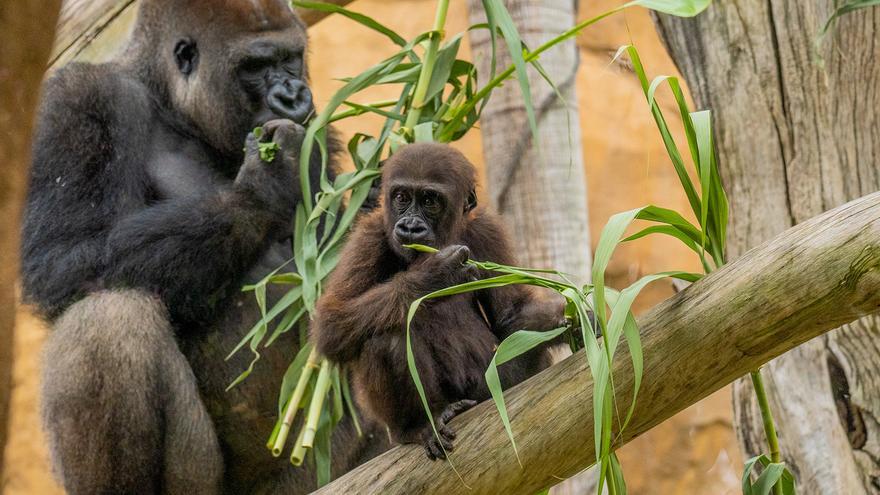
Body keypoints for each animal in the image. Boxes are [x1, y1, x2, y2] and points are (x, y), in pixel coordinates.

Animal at [20, 0, 384, 495]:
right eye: (255, 67)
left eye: (291, 58)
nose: (295, 96)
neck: (170, 106)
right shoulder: (76, 99)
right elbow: (60, 260)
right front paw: (268, 185)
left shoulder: (319, 134)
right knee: (106, 318)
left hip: (320, 470)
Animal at [314, 143, 564, 462]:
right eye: (402, 197)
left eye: (430, 200)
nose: (410, 226)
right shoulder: (367, 236)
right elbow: (331, 322)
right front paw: (434, 276)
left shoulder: (487, 230)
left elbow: (510, 316)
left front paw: (570, 316)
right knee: (385, 340)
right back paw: (417, 425)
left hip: (489, 387)